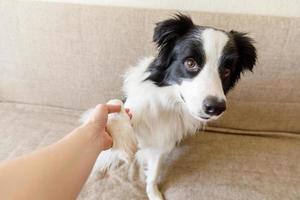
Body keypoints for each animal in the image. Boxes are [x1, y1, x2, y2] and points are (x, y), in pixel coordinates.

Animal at [81, 14, 255, 200]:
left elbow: (155, 170)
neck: (170, 103)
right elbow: (115, 104)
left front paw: (153, 192)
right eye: (190, 63)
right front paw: (123, 142)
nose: (216, 107)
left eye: (227, 70)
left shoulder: (163, 137)